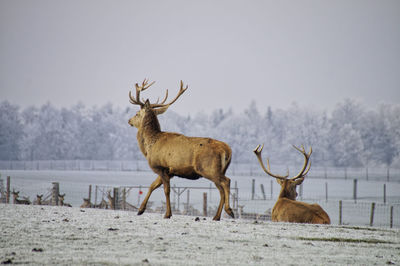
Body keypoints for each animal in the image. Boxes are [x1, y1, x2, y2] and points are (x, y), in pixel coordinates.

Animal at [128, 79, 234, 220]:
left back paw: (229, 211)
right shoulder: (169, 171)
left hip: (208, 168)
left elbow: (166, 190)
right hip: (219, 169)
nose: (129, 120)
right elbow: (152, 186)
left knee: (226, 182)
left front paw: (167, 214)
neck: (149, 147)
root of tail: (227, 150)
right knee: (221, 187)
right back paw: (216, 216)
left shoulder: (160, 166)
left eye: (137, 114)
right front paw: (140, 210)